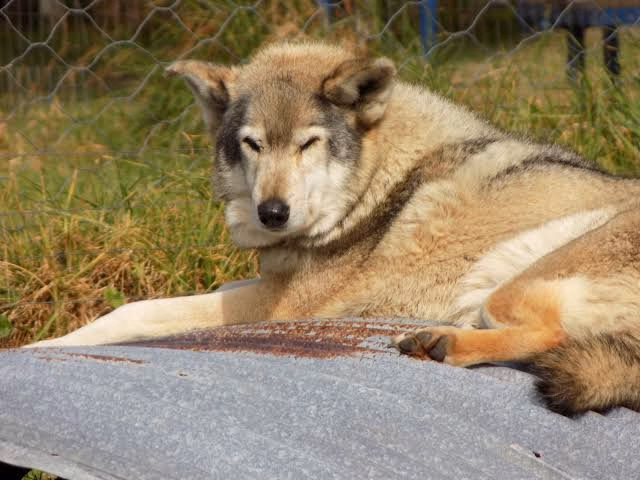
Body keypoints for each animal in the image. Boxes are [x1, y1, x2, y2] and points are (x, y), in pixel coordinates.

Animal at [30, 41, 640, 415]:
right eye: (252, 144)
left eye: (309, 143)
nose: (272, 213)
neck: (377, 187)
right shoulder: (267, 280)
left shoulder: (280, 305)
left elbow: (134, 311)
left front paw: (48, 345)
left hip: (513, 283)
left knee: (549, 334)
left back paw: (440, 344)